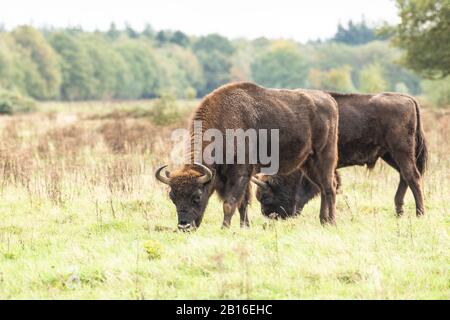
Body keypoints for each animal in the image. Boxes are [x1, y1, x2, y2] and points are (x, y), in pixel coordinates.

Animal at [155, 81, 338, 229]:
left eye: (197, 196)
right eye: (172, 197)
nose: (184, 226)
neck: (223, 123)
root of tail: (329, 100)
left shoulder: (239, 174)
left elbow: (230, 203)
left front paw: (225, 228)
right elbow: (242, 203)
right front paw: (245, 226)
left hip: (323, 158)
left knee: (329, 188)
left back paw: (331, 222)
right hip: (307, 164)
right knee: (323, 188)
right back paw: (323, 221)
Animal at [255, 91, 428, 219]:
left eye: (266, 197)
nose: (271, 216)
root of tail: (408, 98)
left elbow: (326, 186)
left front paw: (326, 218)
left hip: (401, 151)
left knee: (412, 176)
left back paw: (420, 213)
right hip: (389, 154)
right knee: (404, 176)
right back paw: (399, 212)